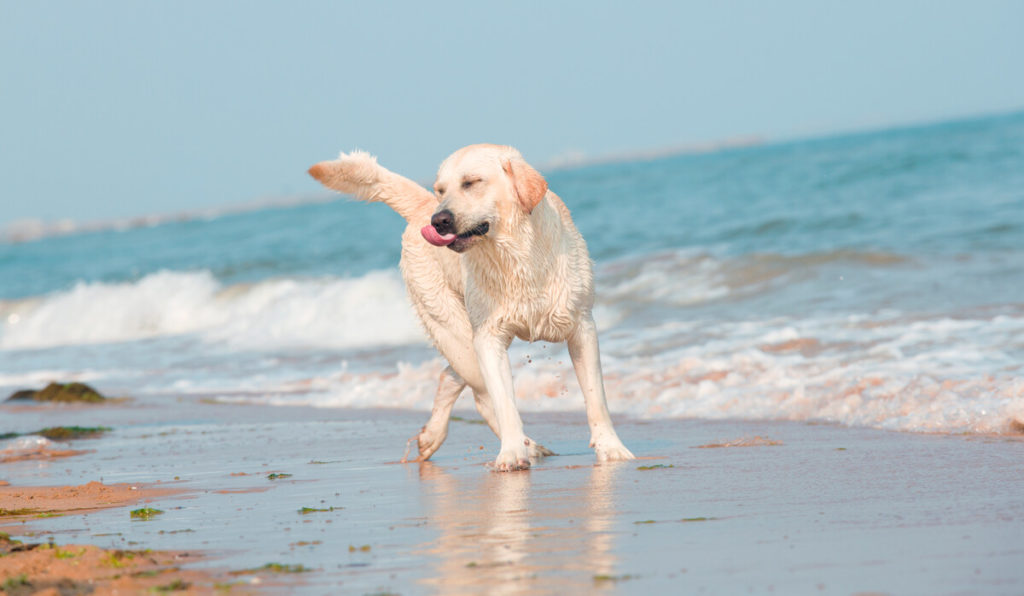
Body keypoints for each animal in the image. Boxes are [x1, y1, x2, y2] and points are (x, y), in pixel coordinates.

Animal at [307, 146, 634, 471]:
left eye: (471, 182)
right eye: (441, 189)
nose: (439, 220)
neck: (515, 255)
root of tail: (422, 206)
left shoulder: (582, 326)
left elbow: (596, 398)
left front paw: (611, 448)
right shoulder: (488, 338)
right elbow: (504, 402)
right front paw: (511, 453)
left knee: (450, 376)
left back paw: (435, 436)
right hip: (457, 333)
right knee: (478, 393)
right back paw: (524, 446)